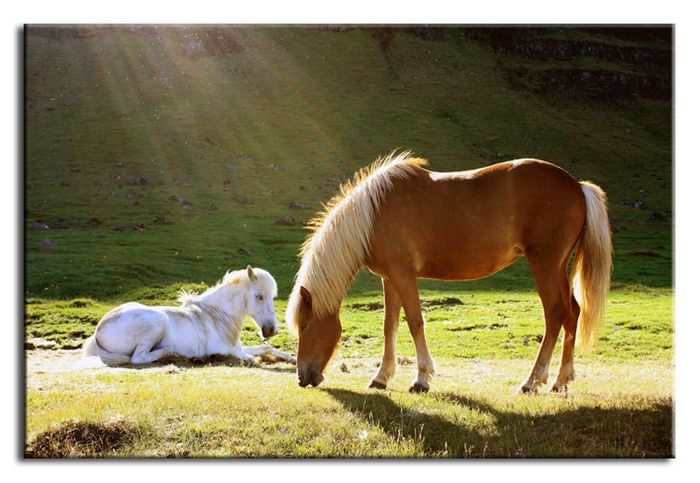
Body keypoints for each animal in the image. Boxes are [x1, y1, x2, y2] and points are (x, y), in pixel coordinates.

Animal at [83, 266, 296, 366]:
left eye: (273, 297)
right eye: (259, 296)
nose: (271, 330)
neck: (218, 315)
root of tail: (97, 332)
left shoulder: (240, 346)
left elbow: (266, 348)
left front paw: (292, 359)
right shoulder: (231, 350)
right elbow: (252, 357)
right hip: (156, 322)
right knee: (139, 358)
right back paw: (172, 354)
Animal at [286, 152, 612, 393]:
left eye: (305, 325)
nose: (302, 377)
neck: (373, 214)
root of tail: (577, 186)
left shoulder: (404, 276)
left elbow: (415, 322)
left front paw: (422, 379)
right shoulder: (389, 279)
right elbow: (390, 325)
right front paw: (381, 377)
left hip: (544, 264)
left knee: (555, 315)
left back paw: (532, 381)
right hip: (558, 268)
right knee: (572, 313)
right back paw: (560, 381)